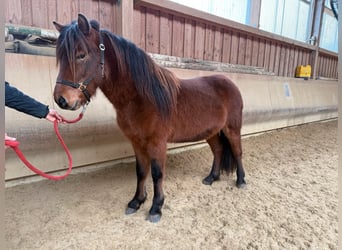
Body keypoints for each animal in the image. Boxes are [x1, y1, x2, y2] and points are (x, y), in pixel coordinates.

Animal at [53, 13, 246, 223]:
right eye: (60, 57)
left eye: (81, 54)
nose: (61, 100)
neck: (141, 99)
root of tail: (230, 83)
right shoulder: (137, 143)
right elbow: (141, 172)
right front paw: (136, 201)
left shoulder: (157, 143)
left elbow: (157, 173)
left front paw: (156, 208)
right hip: (211, 132)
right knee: (218, 150)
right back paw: (212, 178)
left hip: (232, 129)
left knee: (237, 152)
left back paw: (241, 181)